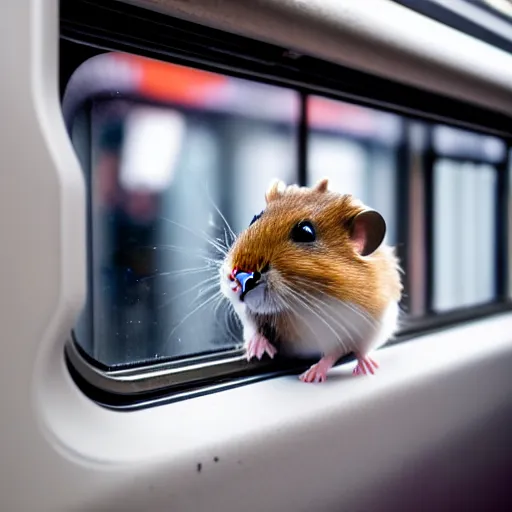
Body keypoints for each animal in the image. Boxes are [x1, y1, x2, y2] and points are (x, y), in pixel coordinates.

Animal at [218, 178, 402, 382]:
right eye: (255, 218)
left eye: (306, 233)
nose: (238, 278)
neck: (299, 310)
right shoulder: (248, 315)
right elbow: (253, 329)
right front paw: (255, 352)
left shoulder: (357, 327)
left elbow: (335, 353)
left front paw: (309, 377)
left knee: (360, 351)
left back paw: (367, 368)